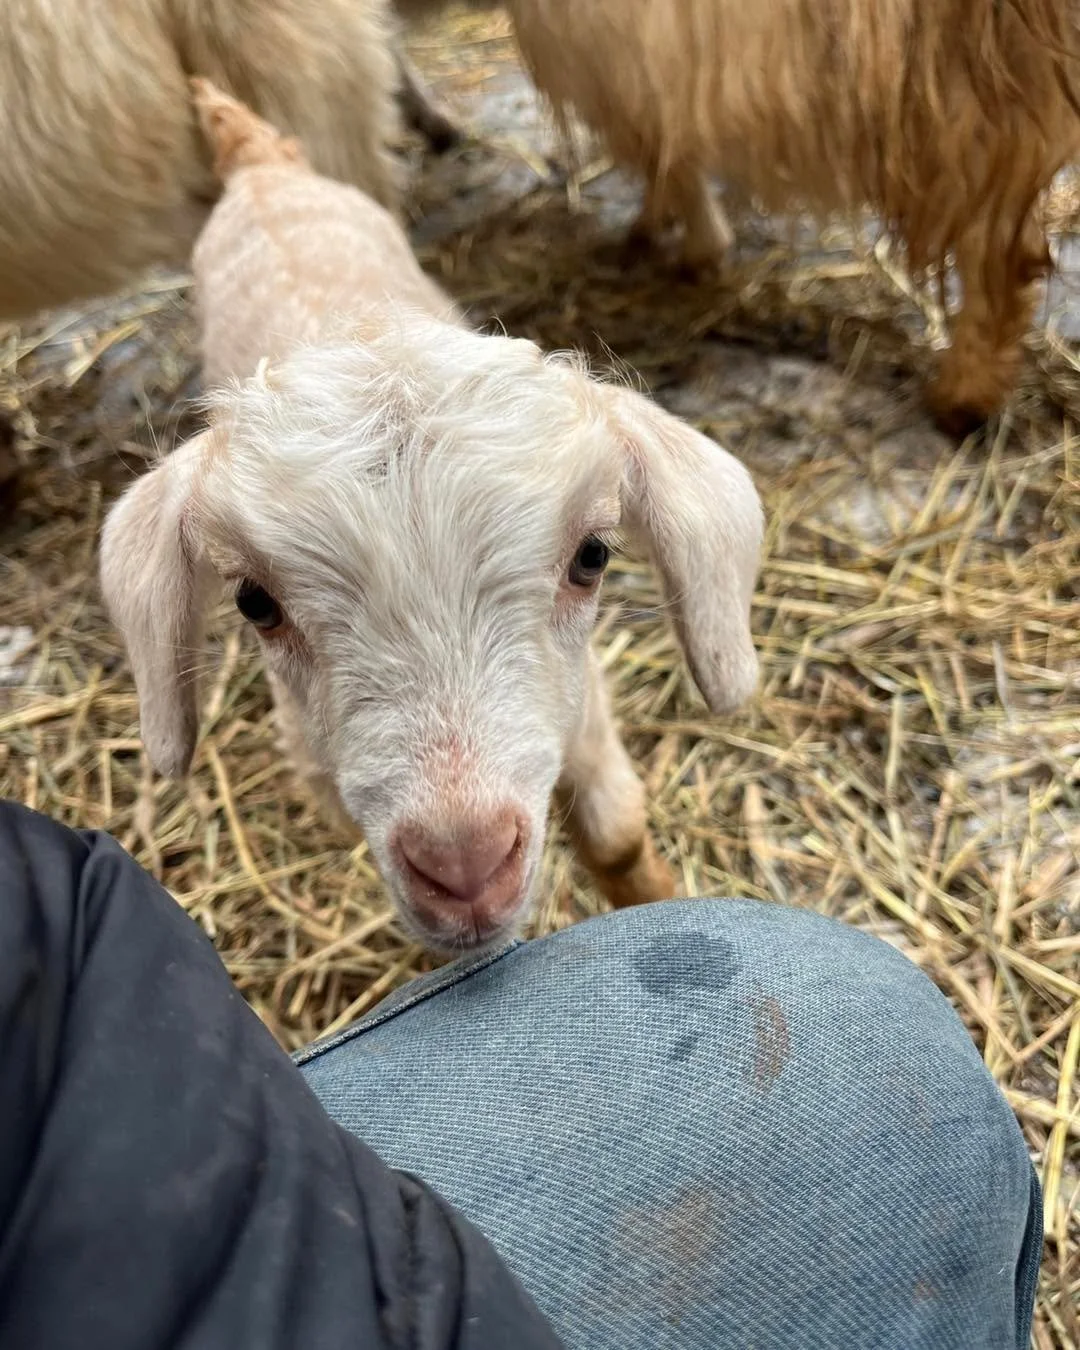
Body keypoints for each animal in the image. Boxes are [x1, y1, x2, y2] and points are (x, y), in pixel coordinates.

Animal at [99, 82, 764, 952]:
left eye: (592, 557)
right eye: (254, 602)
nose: (465, 866)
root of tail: (259, 166)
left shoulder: (579, 701)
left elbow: (616, 833)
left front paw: (660, 899)